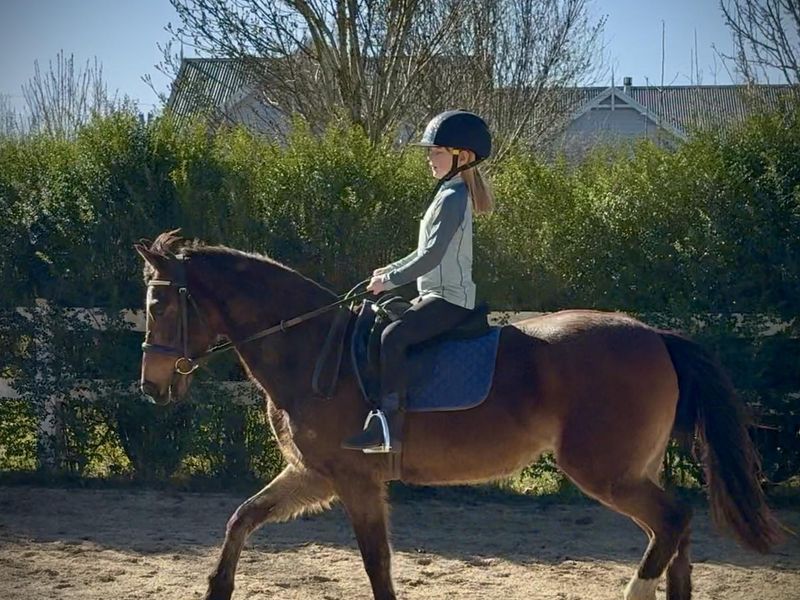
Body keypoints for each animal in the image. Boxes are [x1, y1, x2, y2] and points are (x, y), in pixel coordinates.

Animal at [135, 230, 783, 600]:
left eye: (160, 303)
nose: (152, 386)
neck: (312, 346)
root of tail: (654, 335)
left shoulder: (354, 479)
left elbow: (376, 565)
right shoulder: (314, 475)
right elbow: (241, 519)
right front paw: (217, 588)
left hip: (605, 472)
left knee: (672, 521)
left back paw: (633, 593)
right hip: (633, 469)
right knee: (677, 532)